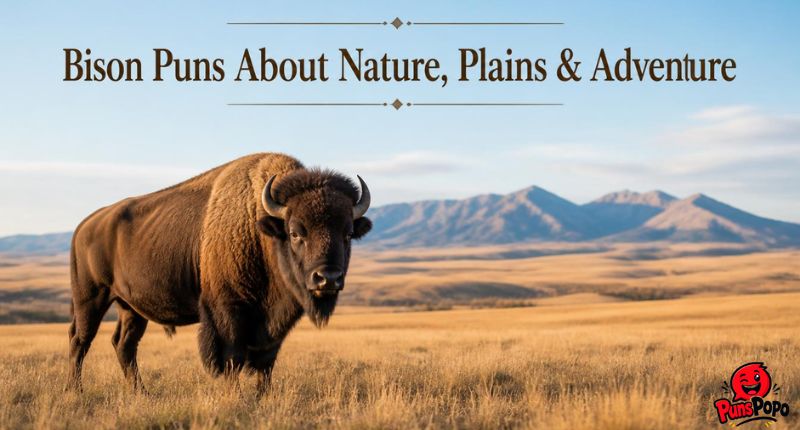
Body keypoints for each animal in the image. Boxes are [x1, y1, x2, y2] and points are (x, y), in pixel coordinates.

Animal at [68, 153, 372, 393]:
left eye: (347, 234)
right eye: (296, 232)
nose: (328, 278)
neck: (260, 229)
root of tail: (84, 226)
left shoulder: (273, 325)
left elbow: (266, 363)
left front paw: (262, 397)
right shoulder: (227, 311)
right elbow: (231, 358)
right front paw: (236, 396)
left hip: (131, 308)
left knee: (124, 345)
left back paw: (141, 393)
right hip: (91, 298)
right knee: (80, 341)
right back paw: (75, 391)